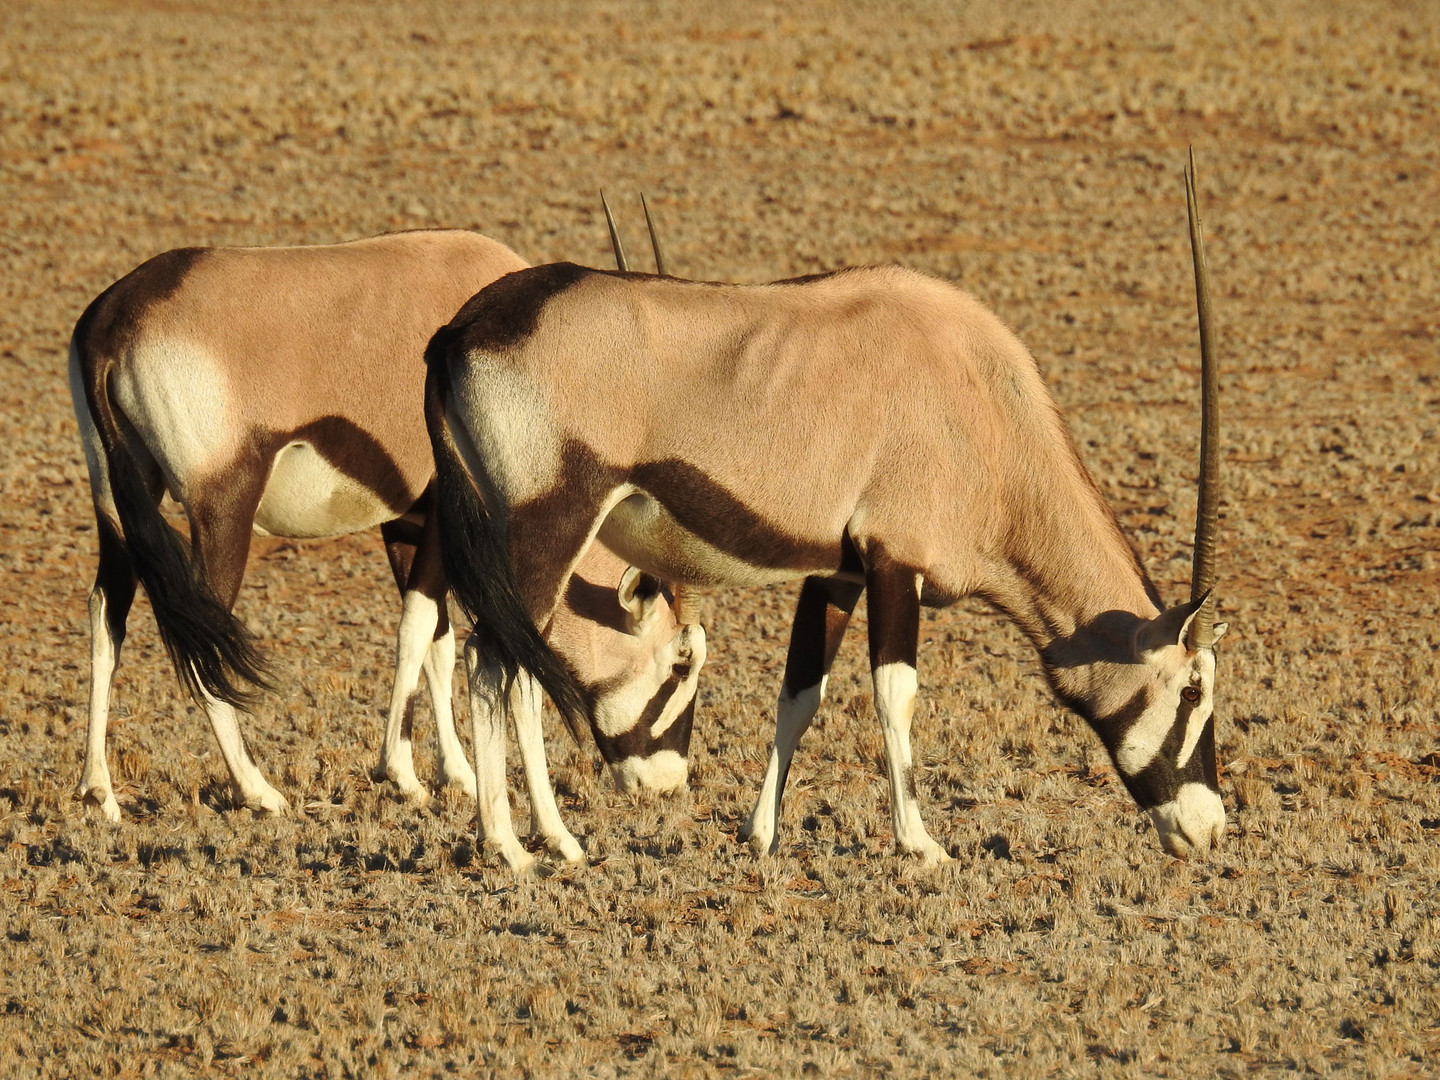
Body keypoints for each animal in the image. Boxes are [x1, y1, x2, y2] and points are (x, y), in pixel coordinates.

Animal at [67, 234, 708, 864]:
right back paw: (258, 790)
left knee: (107, 613)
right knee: (202, 638)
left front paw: (457, 774)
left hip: (117, 500)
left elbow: (439, 642)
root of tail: (114, 320)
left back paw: (99, 791)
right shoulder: (447, 523)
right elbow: (419, 627)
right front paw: (402, 774)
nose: (665, 784)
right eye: (682, 660)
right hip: (223, 509)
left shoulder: (407, 524)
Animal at [426, 160, 1226, 869]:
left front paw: (760, 836)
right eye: (1193, 688)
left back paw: (545, 840)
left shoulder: (837, 570)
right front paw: (921, 844)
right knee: (494, 664)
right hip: (548, 527)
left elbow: (799, 693)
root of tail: (459, 330)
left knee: (515, 664)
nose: (1210, 829)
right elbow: (895, 693)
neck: (985, 403)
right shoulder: (896, 562)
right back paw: (520, 848)